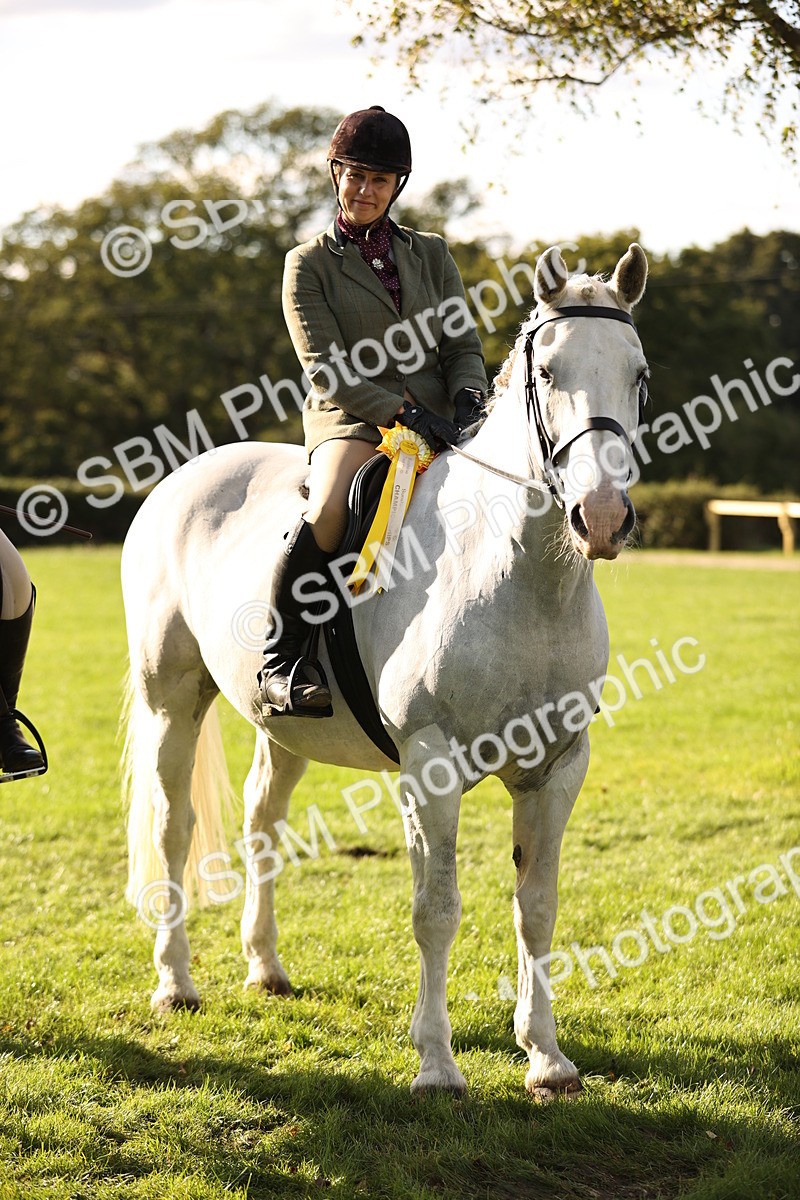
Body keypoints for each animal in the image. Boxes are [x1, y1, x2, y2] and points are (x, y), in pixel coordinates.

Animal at [121, 242, 649, 1100]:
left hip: (284, 727)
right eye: (548, 373)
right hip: (172, 698)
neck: (518, 577)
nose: (600, 518)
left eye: (638, 374)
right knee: (173, 828)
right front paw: (436, 1065)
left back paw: (265, 968)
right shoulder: (430, 767)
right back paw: (176, 984)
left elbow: (537, 905)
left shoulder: (559, 765)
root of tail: (184, 477)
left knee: (262, 818)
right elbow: (436, 909)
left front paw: (547, 1058)